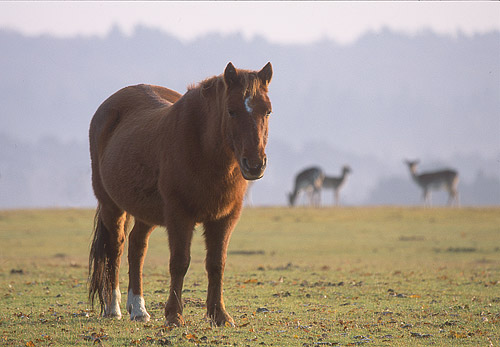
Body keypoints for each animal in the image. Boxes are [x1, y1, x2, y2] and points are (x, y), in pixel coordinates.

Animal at [88, 61, 272, 328]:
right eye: (231, 111)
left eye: (267, 111)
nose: (255, 165)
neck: (203, 149)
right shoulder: (179, 216)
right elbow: (179, 263)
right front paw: (174, 315)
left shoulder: (224, 218)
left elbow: (216, 264)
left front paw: (219, 315)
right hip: (111, 205)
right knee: (116, 247)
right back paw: (114, 307)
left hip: (145, 212)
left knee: (137, 247)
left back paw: (139, 309)